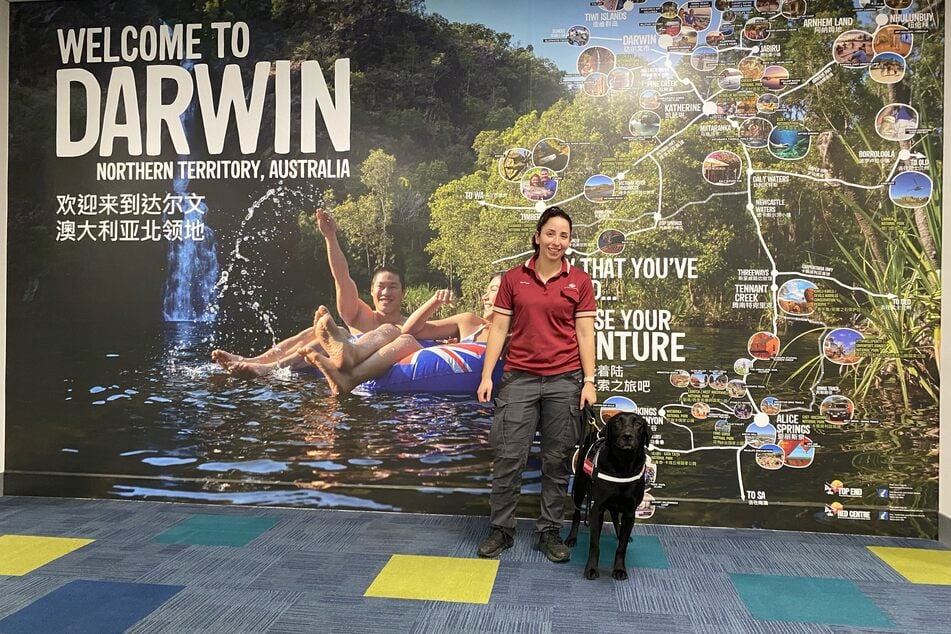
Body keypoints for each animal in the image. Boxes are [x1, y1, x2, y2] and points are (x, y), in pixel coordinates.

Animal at [564, 410, 656, 576]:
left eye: (638, 424)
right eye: (617, 423)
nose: (627, 436)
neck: (623, 466)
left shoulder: (630, 511)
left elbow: (622, 547)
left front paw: (619, 568)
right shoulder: (597, 509)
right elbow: (595, 544)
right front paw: (591, 568)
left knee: (615, 517)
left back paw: (620, 534)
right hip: (580, 486)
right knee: (577, 513)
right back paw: (572, 538)